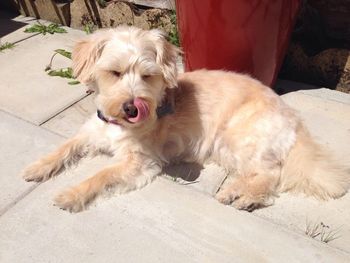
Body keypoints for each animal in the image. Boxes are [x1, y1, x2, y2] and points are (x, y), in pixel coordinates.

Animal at [20, 26, 348, 213]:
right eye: (115, 72)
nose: (131, 108)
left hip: (237, 138)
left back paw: (242, 196)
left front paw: (71, 194)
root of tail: (292, 117)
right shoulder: (90, 132)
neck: (117, 125)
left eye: (147, 76)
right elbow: (65, 147)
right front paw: (38, 167)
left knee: (270, 175)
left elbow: (100, 176)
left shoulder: (140, 162)